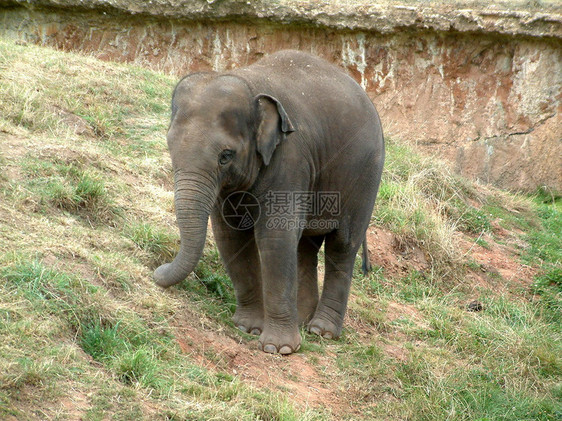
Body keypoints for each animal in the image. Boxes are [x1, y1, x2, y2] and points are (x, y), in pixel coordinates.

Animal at [155, 49, 388, 352]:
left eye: (225, 156)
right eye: (170, 146)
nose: (157, 272)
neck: (249, 82)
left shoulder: (291, 157)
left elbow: (275, 236)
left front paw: (278, 349)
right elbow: (230, 236)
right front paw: (248, 328)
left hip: (365, 178)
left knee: (342, 245)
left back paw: (321, 332)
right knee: (305, 248)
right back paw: (302, 321)